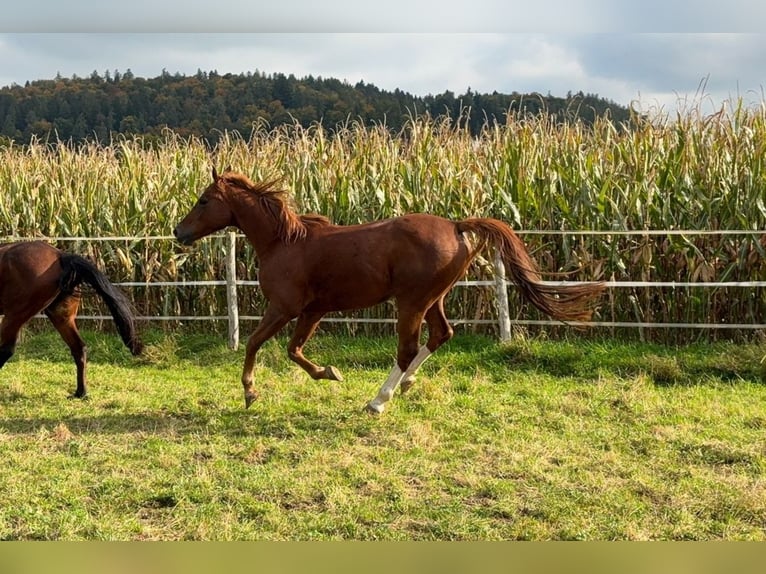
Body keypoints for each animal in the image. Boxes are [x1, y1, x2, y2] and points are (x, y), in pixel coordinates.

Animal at [0, 241, 143, 399]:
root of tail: (61, 256)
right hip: (61, 317)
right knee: (79, 348)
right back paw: (80, 392)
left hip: (16, 314)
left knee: (6, 349)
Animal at [174, 168, 606, 414]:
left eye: (204, 200)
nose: (179, 232)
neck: (284, 241)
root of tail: (456, 226)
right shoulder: (312, 311)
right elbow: (294, 351)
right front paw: (329, 373)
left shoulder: (283, 307)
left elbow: (254, 343)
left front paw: (250, 393)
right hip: (433, 299)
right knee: (441, 335)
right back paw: (406, 385)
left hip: (411, 302)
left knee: (407, 349)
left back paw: (378, 401)